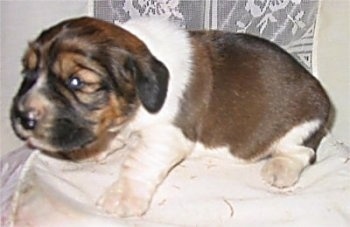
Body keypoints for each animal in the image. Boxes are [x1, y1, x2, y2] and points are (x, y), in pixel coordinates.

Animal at [9, 17, 330, 216]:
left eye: (77, 82)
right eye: (27, 72)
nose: (23, 119)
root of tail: (325, 101)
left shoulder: (166, 137)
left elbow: (138, 163)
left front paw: (122, 197)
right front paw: (95, 148)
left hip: (298, 129)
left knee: (301, 153)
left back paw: (280, 169)